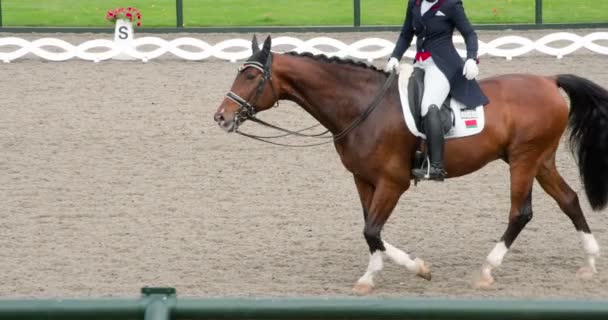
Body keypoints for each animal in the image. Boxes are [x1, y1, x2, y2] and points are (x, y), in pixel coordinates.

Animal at [214, 35, 608, 296]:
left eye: (250, 77)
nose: (221, 116)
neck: (362, 106)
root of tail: (548, 80)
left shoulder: (393, 182)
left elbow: (372, 231)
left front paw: (418, 269)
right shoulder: (363, 180)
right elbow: (371, 230)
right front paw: (372, 276)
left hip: (524, 160)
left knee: (521, 212)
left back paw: (486, 270)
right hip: (539, 160)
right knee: (569, 199)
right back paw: (589, 264)